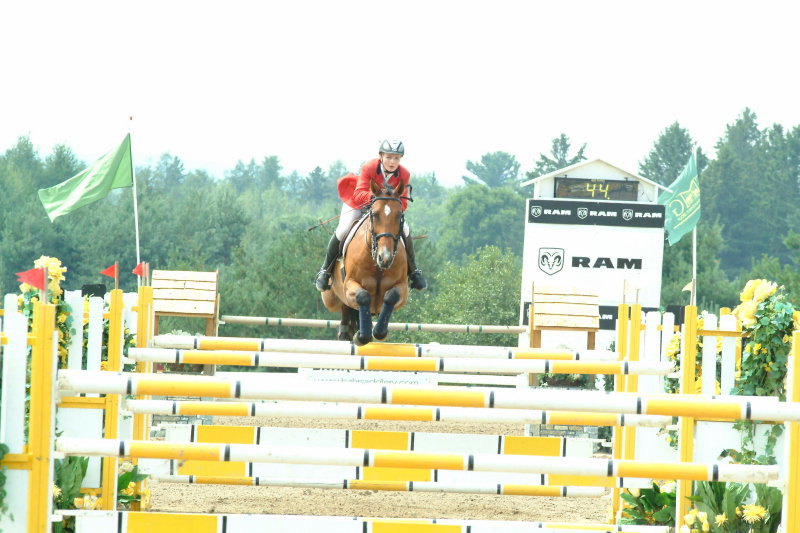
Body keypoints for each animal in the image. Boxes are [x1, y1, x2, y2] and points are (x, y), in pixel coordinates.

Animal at [318, 179, 410, 344]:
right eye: (375, 214)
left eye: (399, 215)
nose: (385, 258)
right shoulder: (350, 284)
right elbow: (363, 296)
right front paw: (362, 336)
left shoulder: (402, 288)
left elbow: (391, 296)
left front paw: (379, 332)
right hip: (330, 299)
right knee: (344, 307)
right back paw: (346, 331)